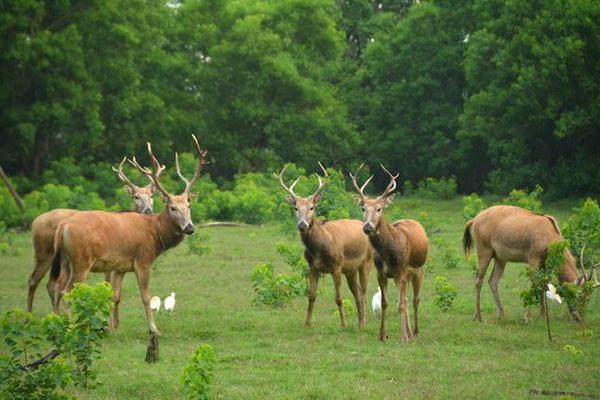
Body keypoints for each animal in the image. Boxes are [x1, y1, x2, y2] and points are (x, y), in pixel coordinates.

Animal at [26, 158, 162, 314]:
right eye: (136, 196)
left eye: (151, 196)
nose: (148, 210)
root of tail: (34, 222)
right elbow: (111, 291)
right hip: (44, 253)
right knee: (35, 281)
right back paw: (29, 315)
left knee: (51, 284)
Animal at [49, 135, 209, 338]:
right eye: (173, 208)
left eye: (188, 206)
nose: (189, 227)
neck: (155, 234)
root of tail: (63, 226)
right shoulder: (143, 260)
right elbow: (146, 297)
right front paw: (154, 329)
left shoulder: (121, 267)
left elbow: (115, 296)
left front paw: (111, 329)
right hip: (81, 260)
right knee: (68, 291)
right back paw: (74, 327)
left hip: (65, 260)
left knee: (58, 288)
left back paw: (58, 323)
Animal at [274, 162, 372, 328]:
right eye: (296, 208)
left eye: (312, 207)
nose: (302, 225)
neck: (318, 250)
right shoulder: (312, 267)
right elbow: (311, 296)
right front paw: (307, 323)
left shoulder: (337, 266)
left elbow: (338, 298)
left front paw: (343, 324)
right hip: (350, 270)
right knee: (358, 294)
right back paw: (360, 323)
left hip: (366, 262)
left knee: (364, 294)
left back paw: (363, 324)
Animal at [350, 164, 428, 342]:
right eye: (363, 208)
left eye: (379, 209)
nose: (367, 227)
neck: (388, 254)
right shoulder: (382, 273)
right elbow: (386, 303)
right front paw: (382, 335)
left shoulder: (401, 271)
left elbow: (401, 304)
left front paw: (403, 338)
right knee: (405, 299)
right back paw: (410, 333)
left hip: (418, 270)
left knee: (415, 299)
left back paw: (415, 332)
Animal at [464, 206, 600, 322]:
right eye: (578, 295)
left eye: (588, 298)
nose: (579, 318)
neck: (549, 232)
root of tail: (475, 219)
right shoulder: (533, 259)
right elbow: (535, 284)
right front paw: (527, 318)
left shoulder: (544, 263)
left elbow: (544, 284)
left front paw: (543, 316)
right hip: (484, 253)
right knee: (478, 280)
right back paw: (478, 317)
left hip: (500, 259)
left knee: (492, 281)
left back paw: (501, 315)